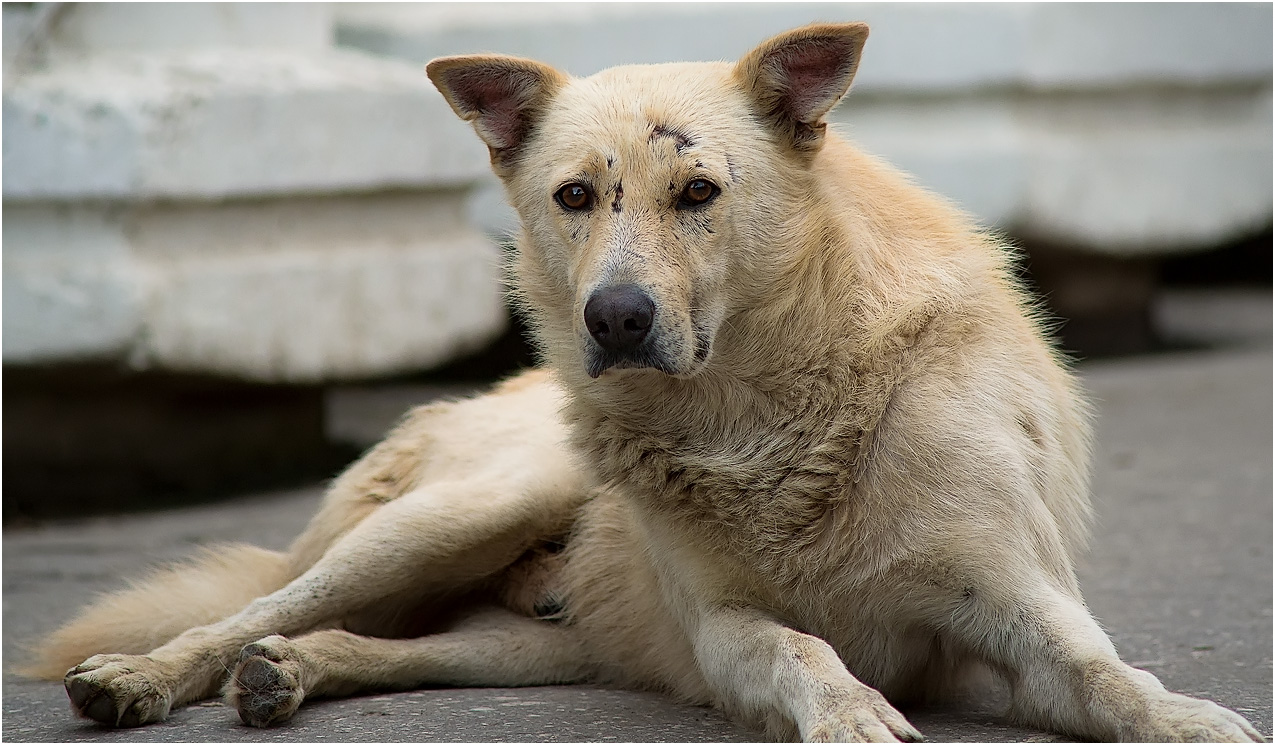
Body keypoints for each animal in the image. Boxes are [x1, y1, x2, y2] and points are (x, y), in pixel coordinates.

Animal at [29, 21, 1264, 739]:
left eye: (699, 192)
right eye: (576, 197)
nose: (615, 317)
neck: (767, 418)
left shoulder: (1015, 603)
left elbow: (1106, 674)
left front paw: (1190, 716)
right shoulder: (726, 630)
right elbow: (804, 649)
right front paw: (850, 715)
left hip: (528, 641)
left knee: (390, 645)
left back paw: (291, 674)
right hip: (455, 517)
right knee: (250, 608)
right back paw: (143, 676)